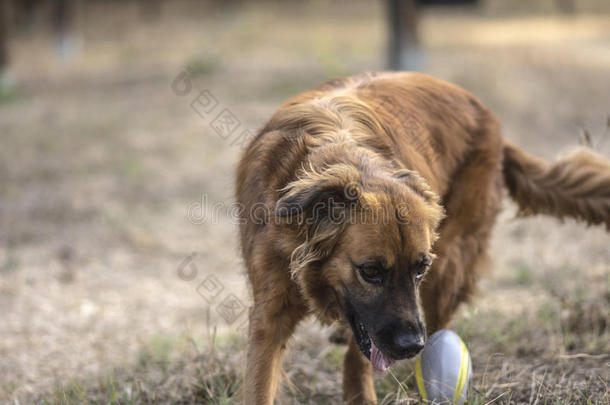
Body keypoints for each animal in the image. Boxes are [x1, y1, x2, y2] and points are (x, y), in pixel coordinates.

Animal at [234, 71, 608, 402]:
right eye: (370, 271)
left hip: (448, 269)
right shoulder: (270, 314)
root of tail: (490, 119)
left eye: (419, 268)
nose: (411, 345)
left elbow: (360, 356)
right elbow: (261, 382)